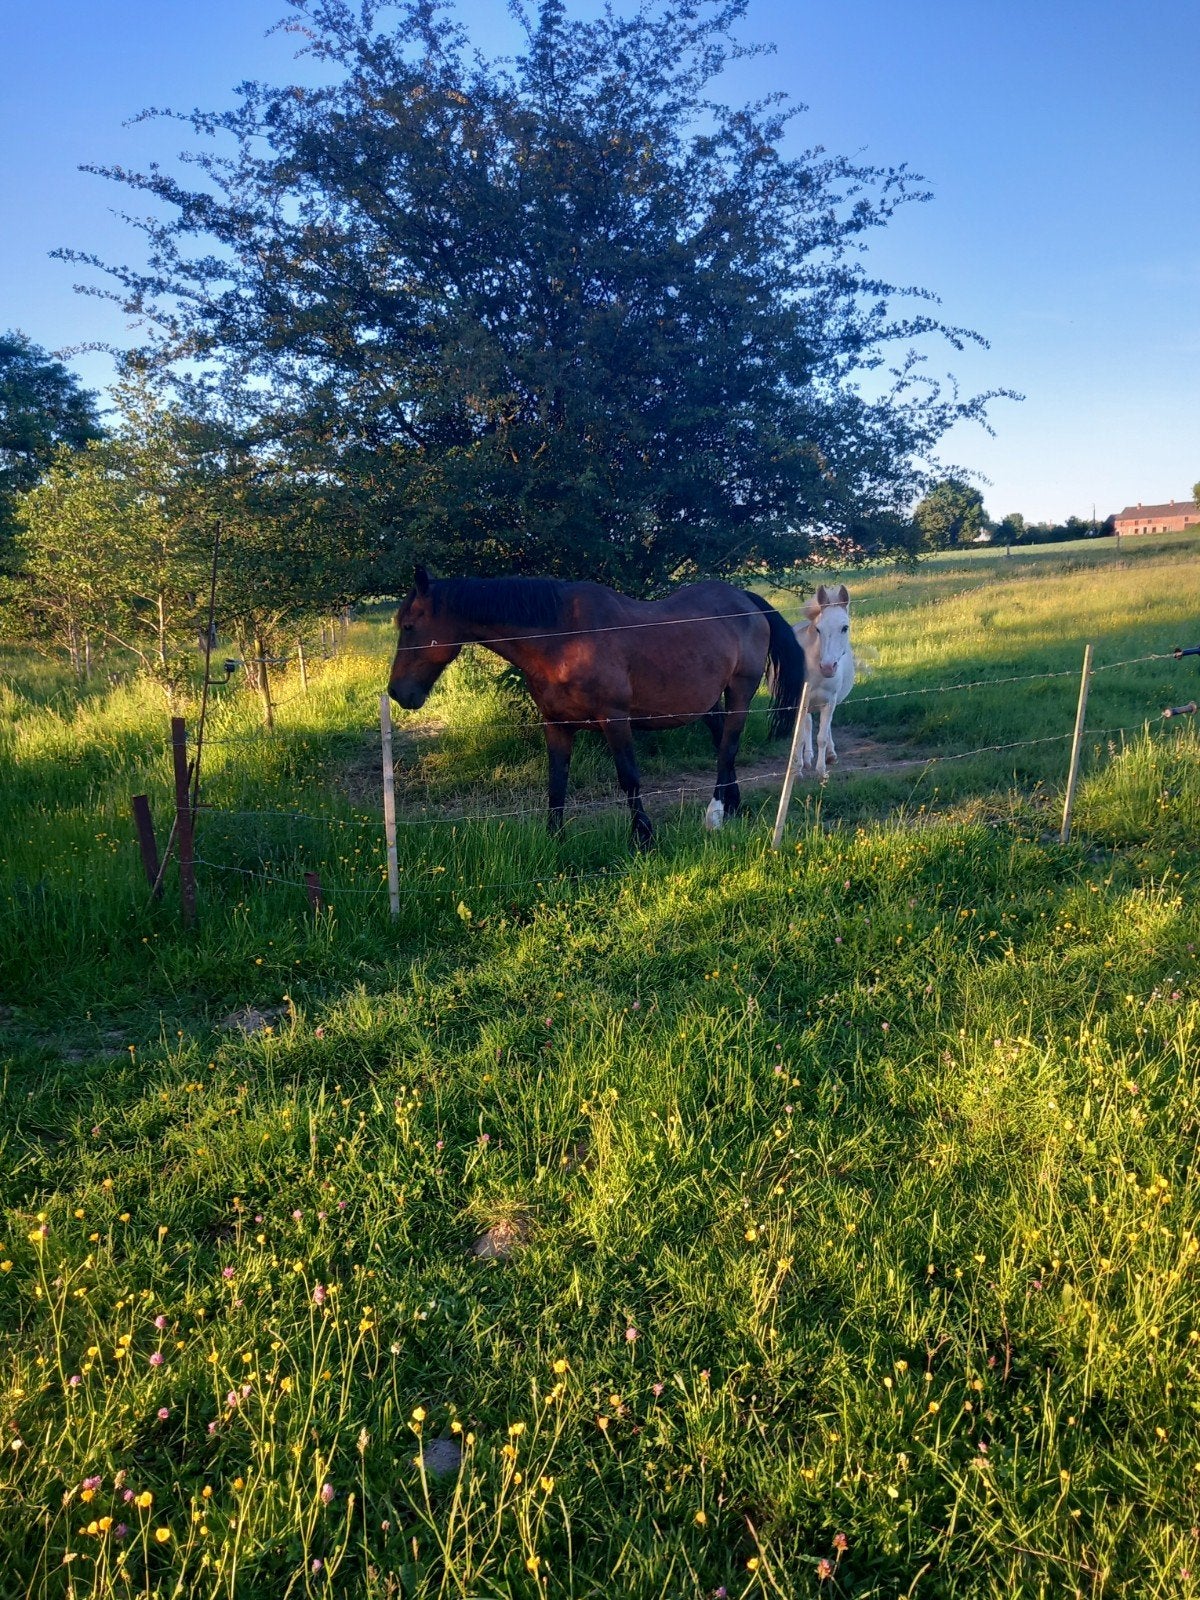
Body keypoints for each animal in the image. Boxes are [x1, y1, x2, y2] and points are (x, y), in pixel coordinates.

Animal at [388, 568, 806, 849]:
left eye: (409, 626)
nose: (397, 693)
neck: (562, 639)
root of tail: (745, 601)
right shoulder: (556, 725)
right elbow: (556, 783)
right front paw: (554, 839)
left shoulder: (615, 720)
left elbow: (629, 779)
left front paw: (643, 838)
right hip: (708, 703)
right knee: (723, 746)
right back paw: (734, 808)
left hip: (740, 692)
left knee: (727, 749)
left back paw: (716, 815)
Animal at [793, 583, 855, 780]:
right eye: (818, 629)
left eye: (845, 627)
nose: (828, 667)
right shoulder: (801, 702)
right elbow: (800, 737)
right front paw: (797, 771)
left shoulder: (829, 701)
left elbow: (821, 737)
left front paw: (822, 771)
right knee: (807, 726)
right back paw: (805, 760)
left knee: (824, 729)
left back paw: (830, 755)